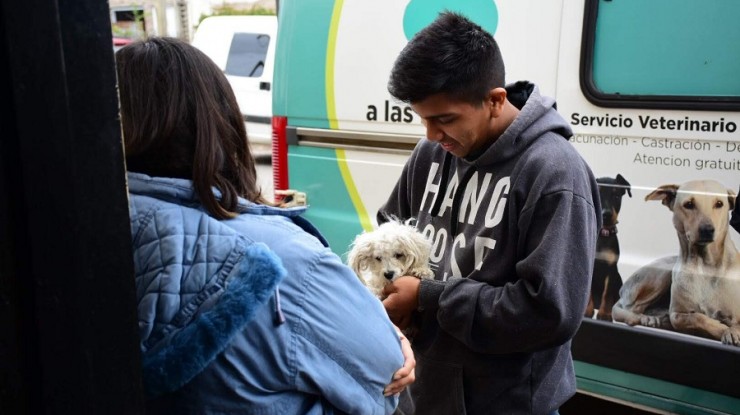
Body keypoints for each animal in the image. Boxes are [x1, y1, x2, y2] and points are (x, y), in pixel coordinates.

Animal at [588, 173, 632, 322]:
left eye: (616, 197)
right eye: (597, 194)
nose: (606, 214)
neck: (603, 234)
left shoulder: (611, 269)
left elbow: (607, 293)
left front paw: (605, 314)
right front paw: (587, 311)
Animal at [612, 180, 740, 346]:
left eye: (719, 204)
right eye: (689, 204)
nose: (707, 229)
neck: (704, 265)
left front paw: (732, 331)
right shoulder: (677, 314)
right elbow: (696, 317)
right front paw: (724, 329)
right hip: (661, 275)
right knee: (633, 309)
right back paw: (648, 318)